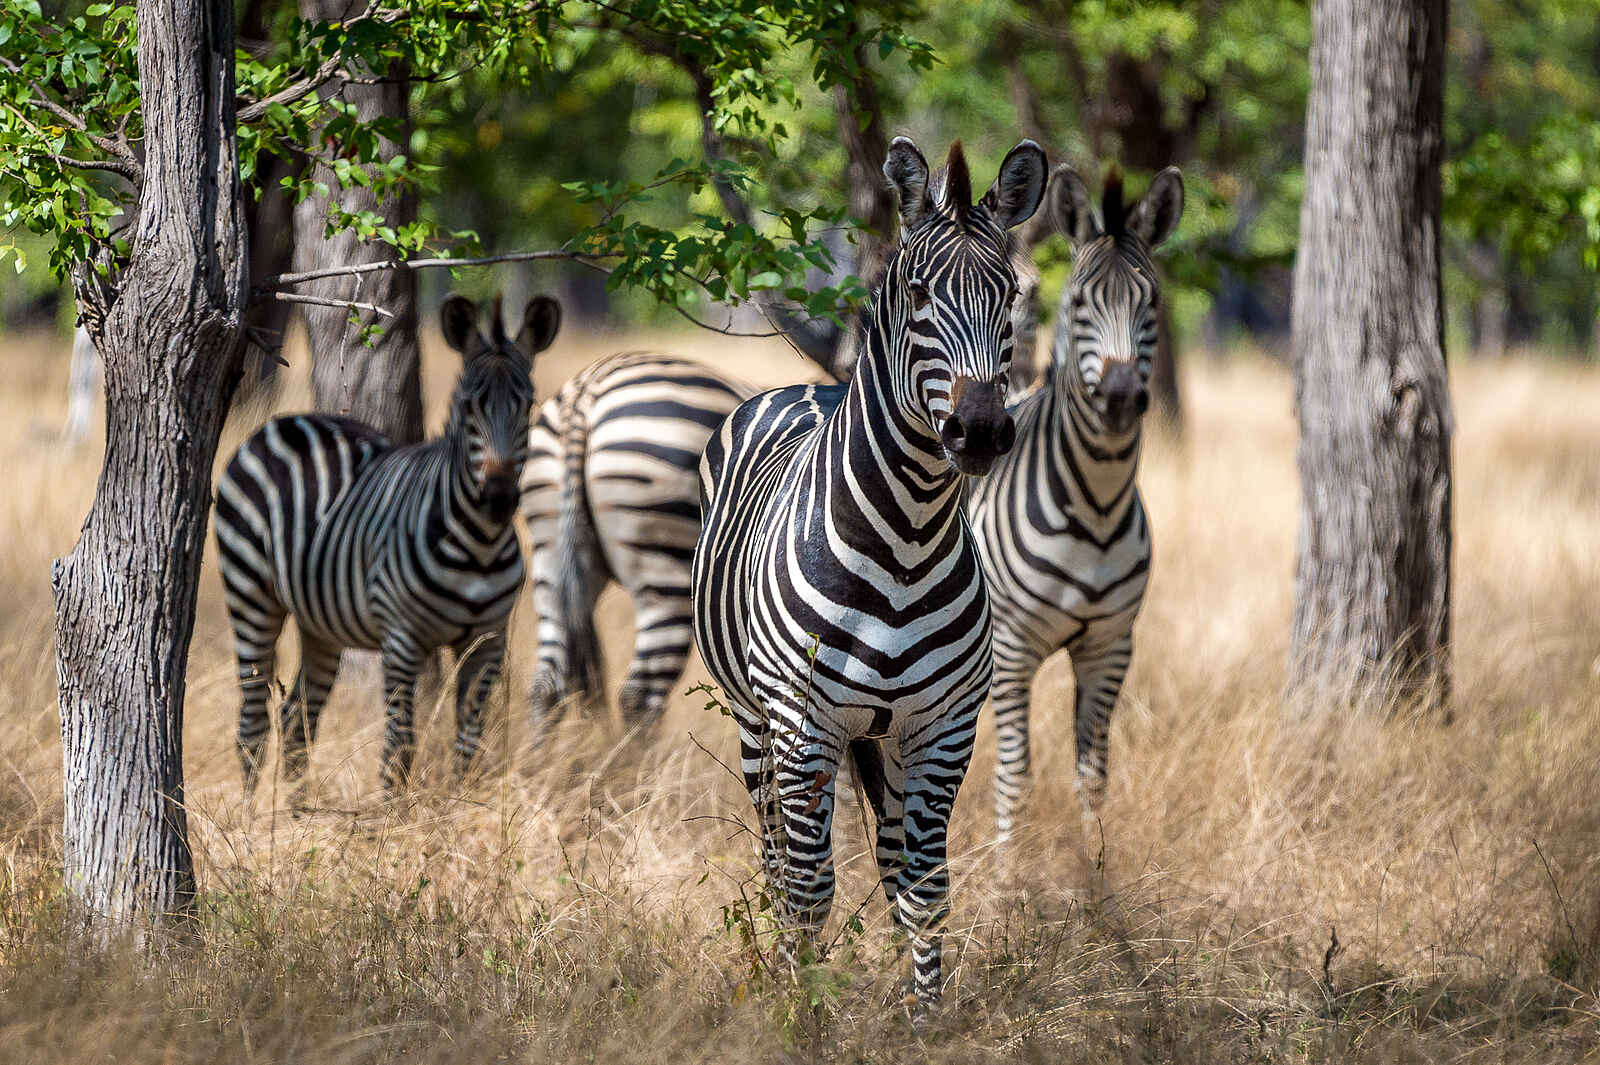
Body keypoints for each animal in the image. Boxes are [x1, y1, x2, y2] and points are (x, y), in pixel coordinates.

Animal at [214, 294, 561, 795]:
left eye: (528, 404)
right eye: (467, 406)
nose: (498, 499)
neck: (479, 544)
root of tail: (282, 422)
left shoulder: (488, 642)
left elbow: (469, 743)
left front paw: (460, 804)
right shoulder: (402, 638)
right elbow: (400, 747)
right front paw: (395, 812)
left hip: (320, 623)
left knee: (297, 717)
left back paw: (296, 810)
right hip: (250, 593)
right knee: (252, 726)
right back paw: (253, 814)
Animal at [692, 137, 1047, 1011]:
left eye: (1011, 295)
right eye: (918, 293)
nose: (981, 431)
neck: (908, 536)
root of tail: (808, 382)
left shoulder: (943, 725)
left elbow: (923, 888)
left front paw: (926, 1016)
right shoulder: (801, 719)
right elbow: (809, 888)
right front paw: (805, 1012)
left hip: (879, 736)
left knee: (886, 854)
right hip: (757, 719)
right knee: (778, 859)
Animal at [964, 164, 1184, 842]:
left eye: (1152, 303)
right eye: (1081, 303)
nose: (1118, 399)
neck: (1096, 506)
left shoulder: (1109, 647)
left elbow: (1093, 781)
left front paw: (1095, 867)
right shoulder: (1011, 648)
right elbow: (1016, 780)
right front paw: (1008, 869)